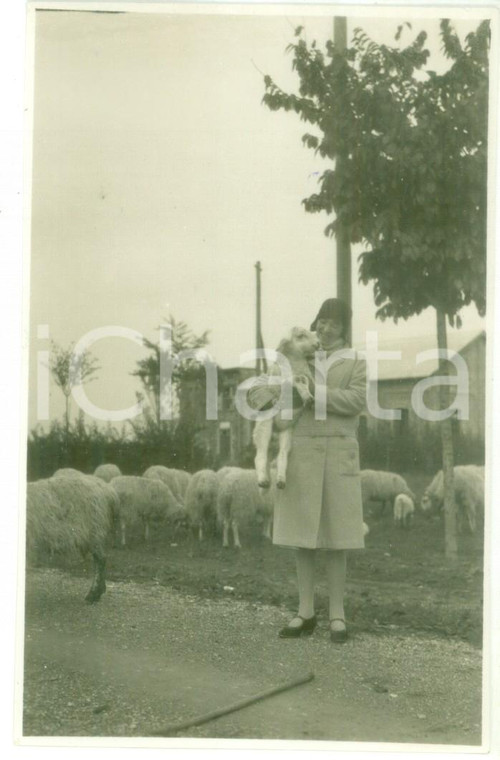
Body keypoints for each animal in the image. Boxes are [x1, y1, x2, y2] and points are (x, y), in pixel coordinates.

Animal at [252, 326, 318, 486]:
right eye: (301, 335)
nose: (318, 343)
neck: (296, 363)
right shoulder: (285, 380)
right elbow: (297, 380)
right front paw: (306, 397)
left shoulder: (309, 379)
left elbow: (307, 382)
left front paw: (309, 397)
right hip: (264, 426)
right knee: (260, 455)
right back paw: (263, 480)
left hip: (287, 433)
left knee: (282, 455)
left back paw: (281, 480)